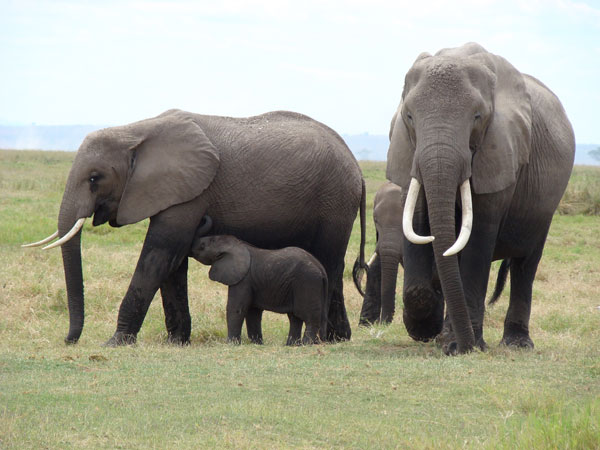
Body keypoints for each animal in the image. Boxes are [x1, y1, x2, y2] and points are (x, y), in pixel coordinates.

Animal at [189, 232, 326, 344]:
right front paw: (257, 343)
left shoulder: (243, 279)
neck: (238, 244)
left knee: (309, 317)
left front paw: (231, 344)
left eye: (202, 246)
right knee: (295, 317)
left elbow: (236, 308)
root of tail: (320, 267)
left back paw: (306, 344)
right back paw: (292, 345)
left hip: (308, 282)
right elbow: (252, 312)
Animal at [386, 43, 576, 356]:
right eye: (410, 117)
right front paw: (427, 331)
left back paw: (516, 344)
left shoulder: (501, 149)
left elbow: (478, 240)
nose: (460, 347)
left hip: (545, 206)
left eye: (477, 117)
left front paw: (460, 344)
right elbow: (415, 223)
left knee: (525, 265)